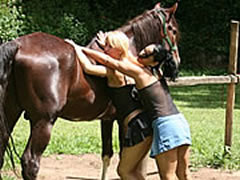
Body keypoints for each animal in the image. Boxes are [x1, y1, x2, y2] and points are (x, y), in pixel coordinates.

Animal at [0, 1, 180, 180]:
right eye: (174, 30)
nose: (175, 63)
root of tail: (18, 45)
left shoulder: (107, 119)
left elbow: (107, 155)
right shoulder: (122, 120)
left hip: (11, 113)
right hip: (43, 121)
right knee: (31, 162)